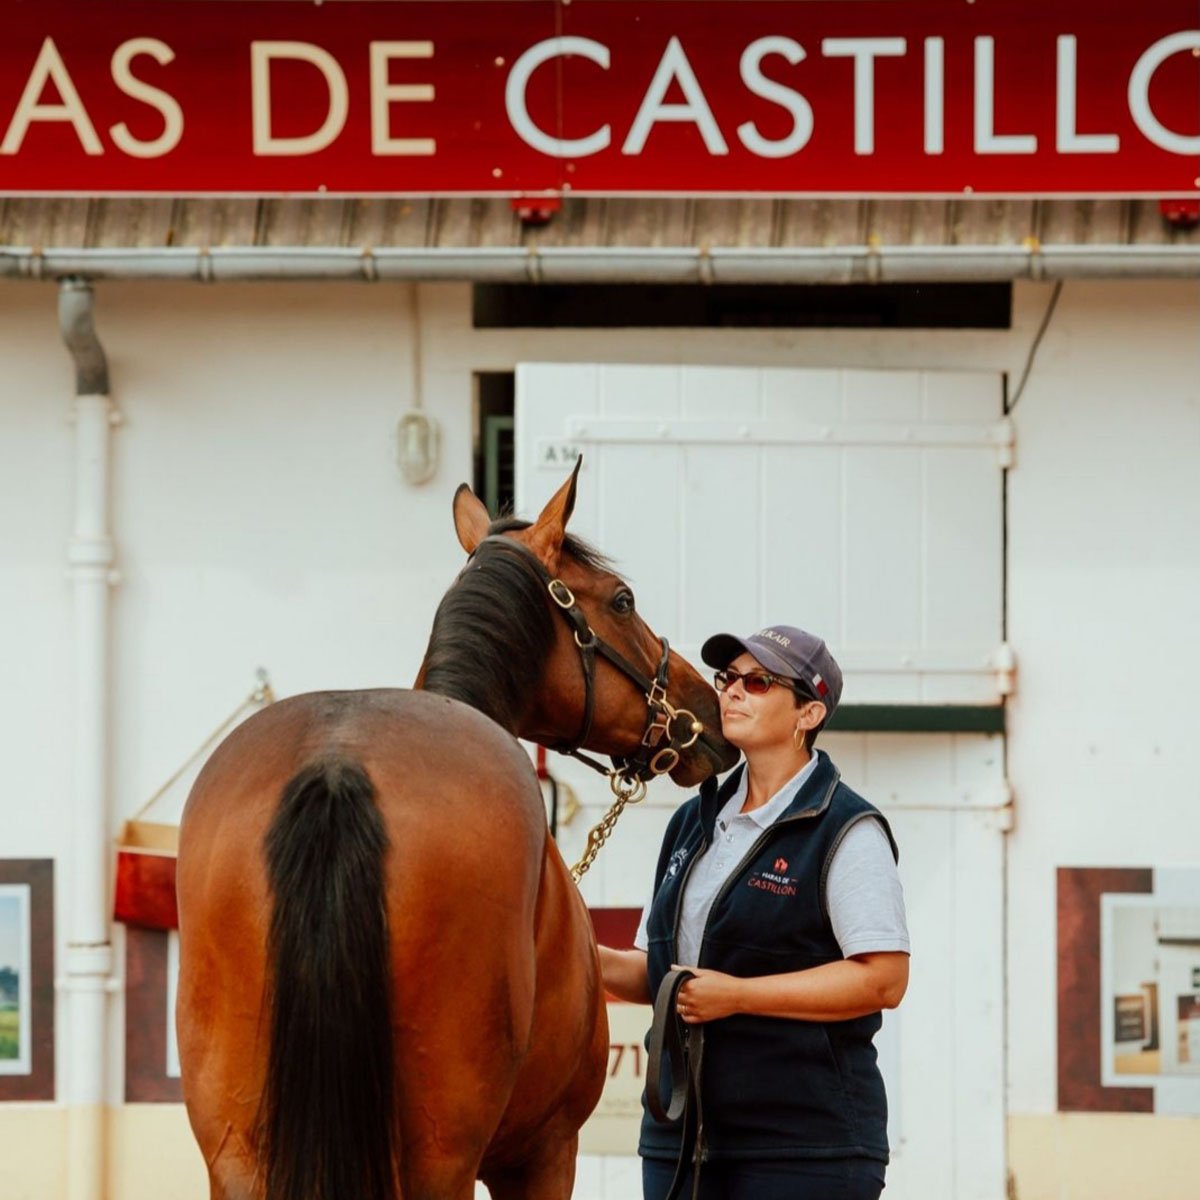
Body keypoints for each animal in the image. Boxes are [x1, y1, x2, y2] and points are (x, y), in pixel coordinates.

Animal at [175, 460, 739, 1200]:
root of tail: (337, 766)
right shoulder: (544, 1152)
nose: (709, 709)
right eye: (622, 601)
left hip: (237, 1152)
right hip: (443, 1156)